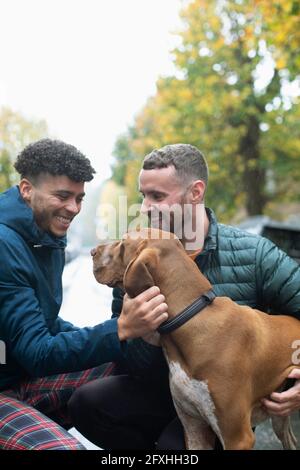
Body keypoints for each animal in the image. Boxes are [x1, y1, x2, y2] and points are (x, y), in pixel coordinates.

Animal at [91, 229, 300, 450]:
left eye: (122, 243)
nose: (92, 251)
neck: (190, 316)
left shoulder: (237, 437)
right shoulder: (194, 428)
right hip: (278, 418)